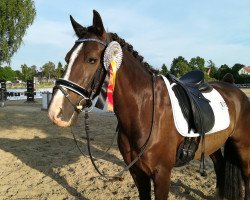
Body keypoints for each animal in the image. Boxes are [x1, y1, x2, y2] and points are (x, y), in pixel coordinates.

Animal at [48, 10, 250, 199]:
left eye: (92, 60)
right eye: (67, 58)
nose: (56, 112)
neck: (145, 111)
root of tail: (234, 89)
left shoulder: (162, 174)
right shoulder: (137, 172)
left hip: (243, 148)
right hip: (213, 144)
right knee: (220, 166)